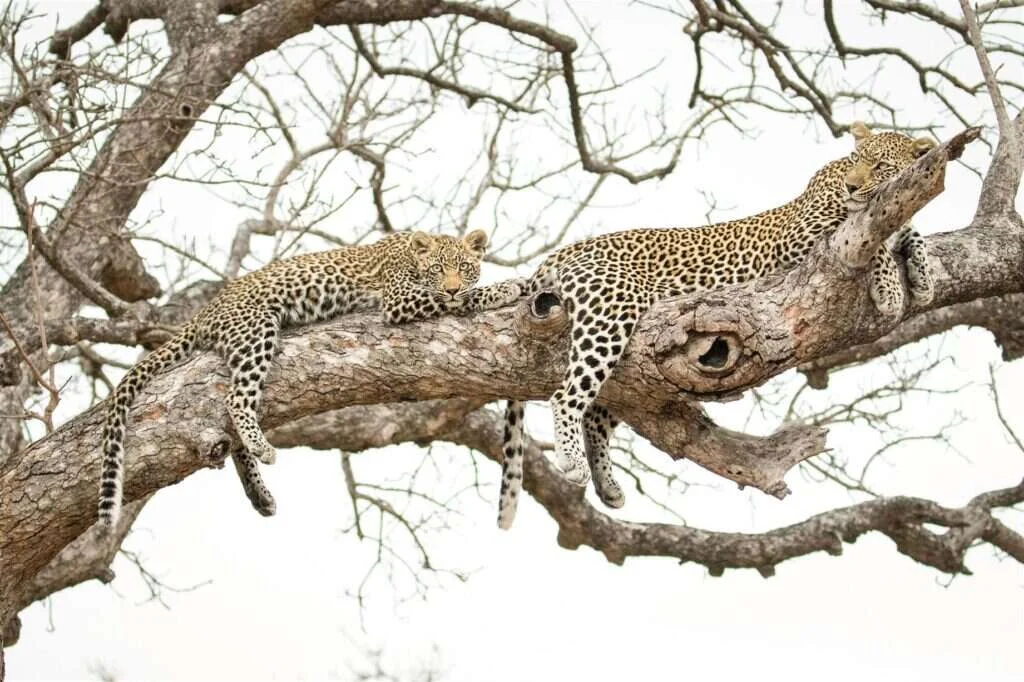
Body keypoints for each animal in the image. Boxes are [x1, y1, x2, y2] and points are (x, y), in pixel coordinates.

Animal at [97, 229, 524, 530]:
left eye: (463, 267)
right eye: (438, 270)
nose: (452, 285)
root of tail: (205, 312)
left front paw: (491, 286)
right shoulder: (400, 299)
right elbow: (460, 300)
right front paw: (507, 287)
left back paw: (261, 494)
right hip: (256, 329)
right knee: (236, 399)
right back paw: (264, 450)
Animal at [496, 122, 937, 530]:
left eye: (879, 166)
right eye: (855, 161)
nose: (851, 186)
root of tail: (564, 251)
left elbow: (912, 234)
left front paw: (923, 276)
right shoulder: (798, 239)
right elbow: (870, 240)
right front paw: (890, 287)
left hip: (631, 362)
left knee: (598, 413)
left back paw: (607, 485)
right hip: (613, 307)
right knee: (567, 395)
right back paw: (572, 459)